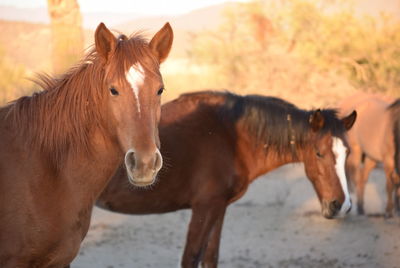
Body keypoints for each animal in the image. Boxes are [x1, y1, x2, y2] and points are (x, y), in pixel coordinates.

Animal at [97, 90, 356, 268]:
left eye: (347, 153)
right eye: (319, 153)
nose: (341, 205)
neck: (231, 137)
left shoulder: (219, 208)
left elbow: (210, 258)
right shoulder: (204, 208)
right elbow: (191, 258)